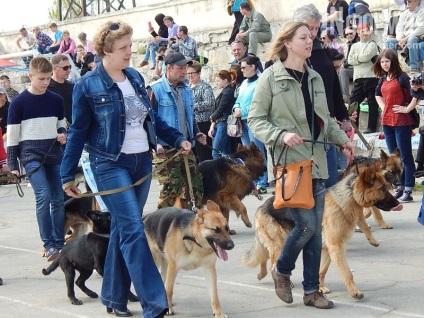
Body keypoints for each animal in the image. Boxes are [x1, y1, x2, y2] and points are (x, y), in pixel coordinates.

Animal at [243, 163, 402, 300]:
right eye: (382, 188)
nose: (398, 203)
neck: (348, 196)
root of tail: (261, 206)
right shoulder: (336, 248)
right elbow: (347, 273)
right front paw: (354, 292)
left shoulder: (328, 249)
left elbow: (321, 270)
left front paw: (319, 288)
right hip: (281, 244)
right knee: (273, 265)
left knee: (265, 258)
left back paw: (261, 275)